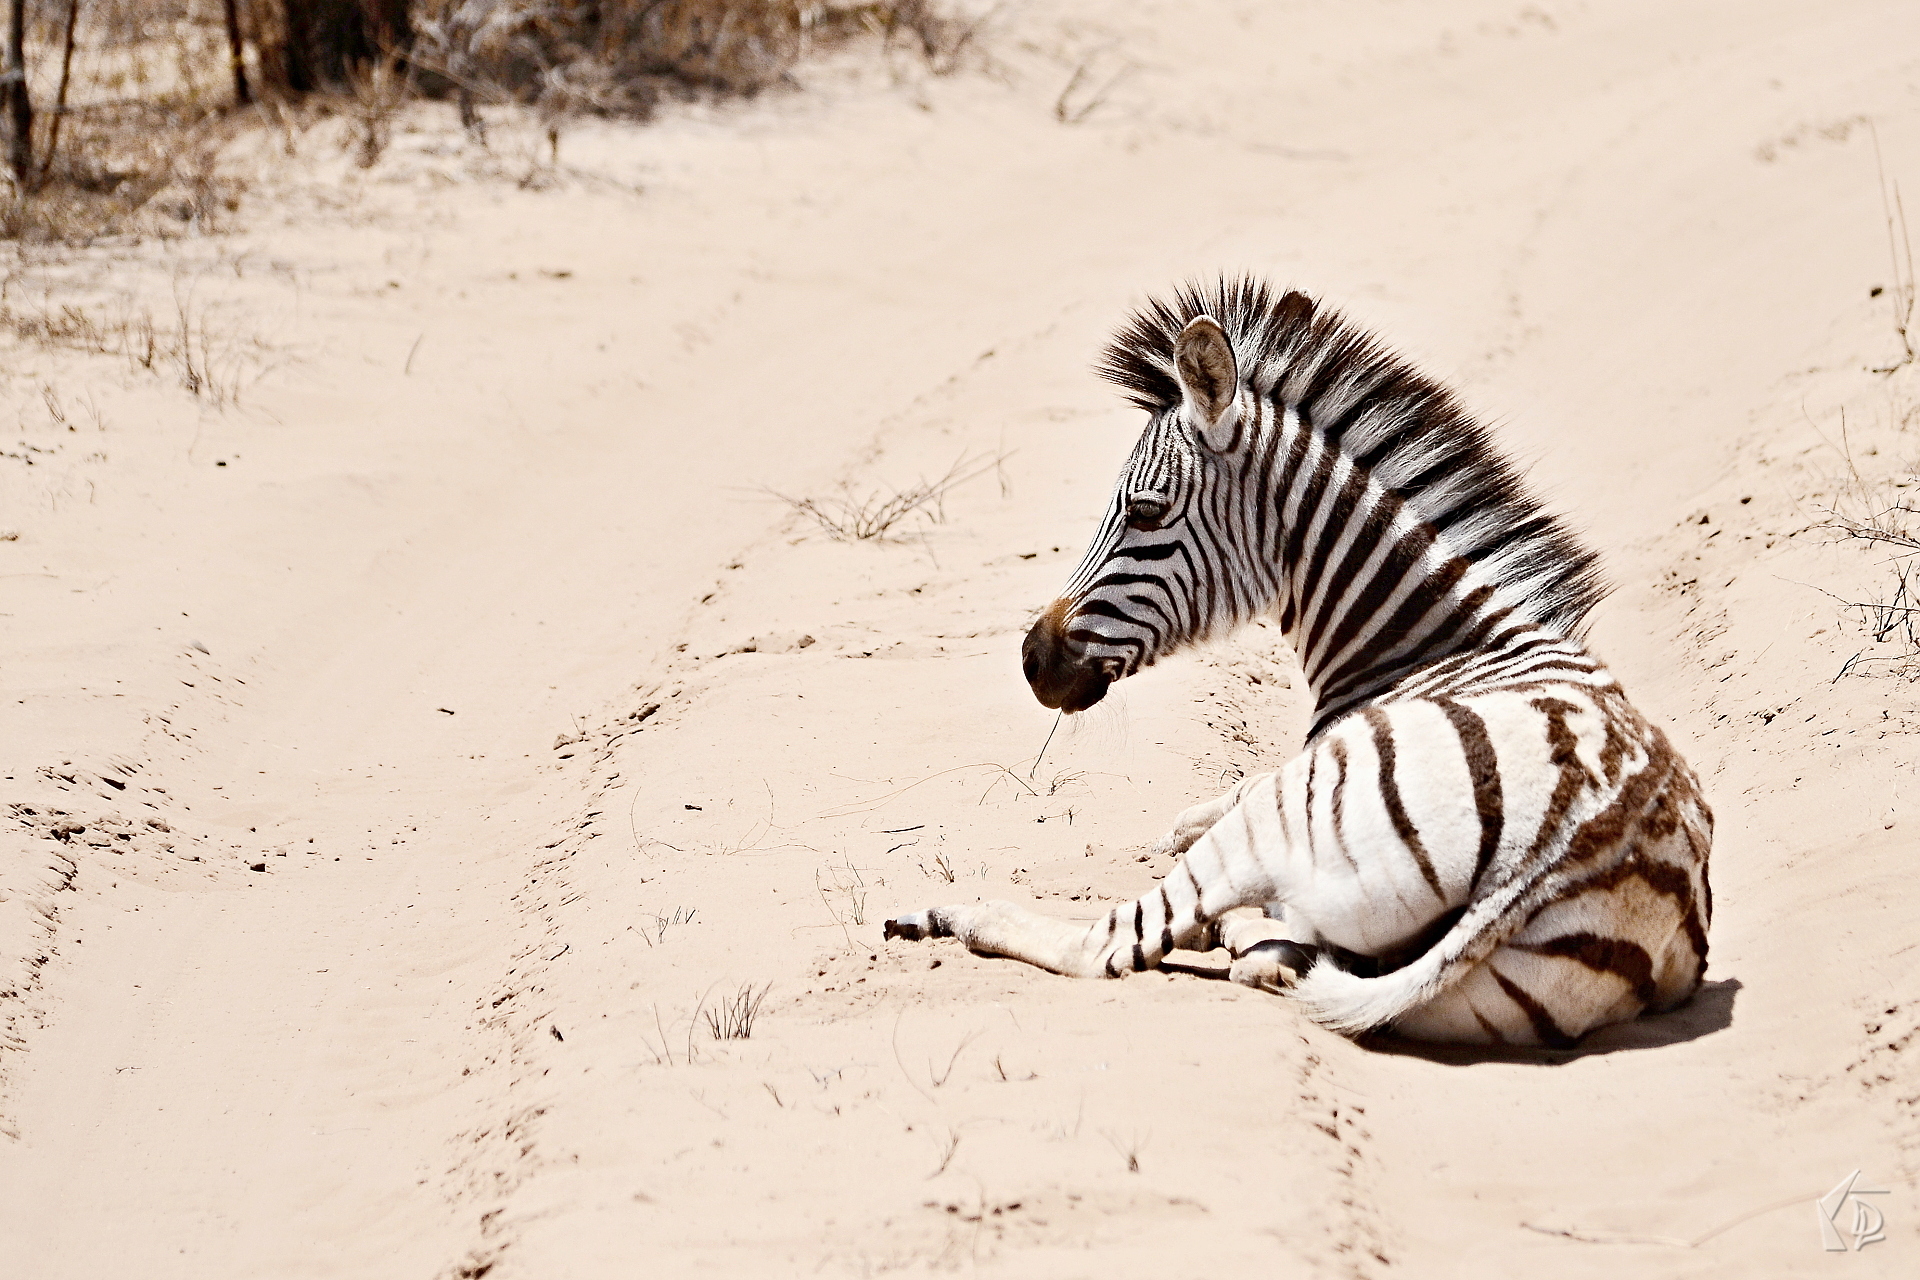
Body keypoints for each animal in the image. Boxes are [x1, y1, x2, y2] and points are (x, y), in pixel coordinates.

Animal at [884, 278, 1712, 1046]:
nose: (1032, 659)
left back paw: (947, 914)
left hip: (1286, 815)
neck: (1429, 641)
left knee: (1113, 943)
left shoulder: (1297, 780)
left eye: (1144, 511)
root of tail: (1569, 845)